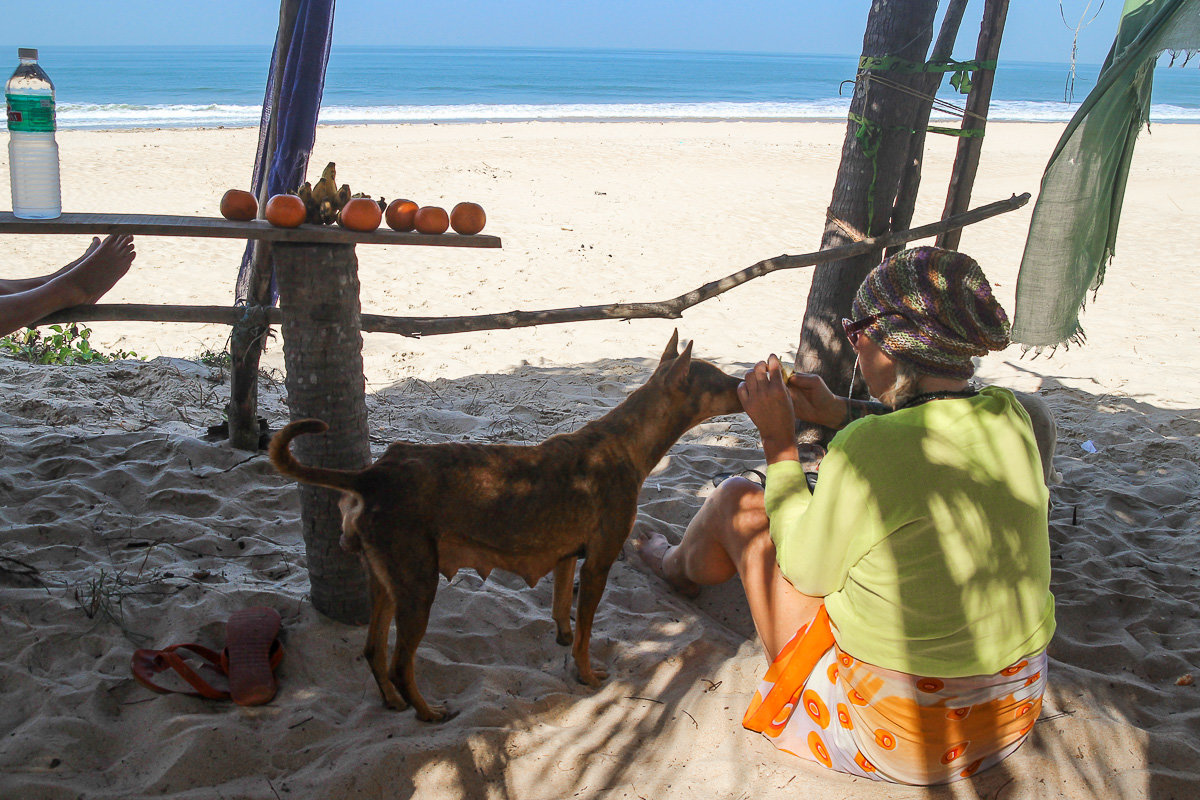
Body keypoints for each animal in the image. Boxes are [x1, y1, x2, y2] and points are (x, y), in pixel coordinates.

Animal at [271, 335, 739, 724]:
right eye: (718, 380)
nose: (746, 381)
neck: (624, 441)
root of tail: (370, 476)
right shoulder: (598, 565)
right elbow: (586, 635)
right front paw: (587, 675)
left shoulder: (567, 558)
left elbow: (562, 612)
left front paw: (562, 638)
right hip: (418, 586)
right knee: (400, 664)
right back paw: (428, 712)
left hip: (387, 583)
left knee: (372, 651)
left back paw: (393, 702)